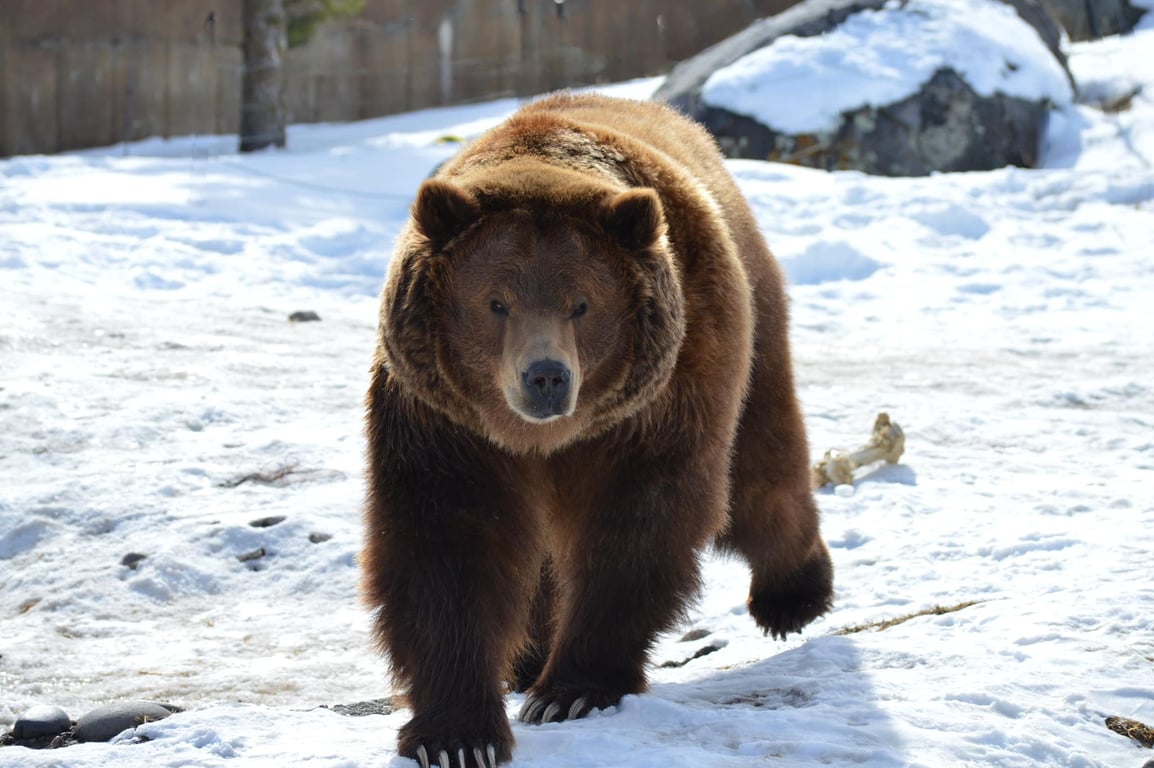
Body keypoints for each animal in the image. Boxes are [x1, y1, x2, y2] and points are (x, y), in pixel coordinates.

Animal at [362, 92, 833, 768]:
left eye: (581, 304)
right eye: (496, 302)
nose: (546, 377)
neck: (546, 439)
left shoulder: (658, 402)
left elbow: (638, 525)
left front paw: (571, 692)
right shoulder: (443, 421)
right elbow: (447, 543)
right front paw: (456, 734)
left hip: (751, 332)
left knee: (759, 475)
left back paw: (792, 596)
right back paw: (526, 659)